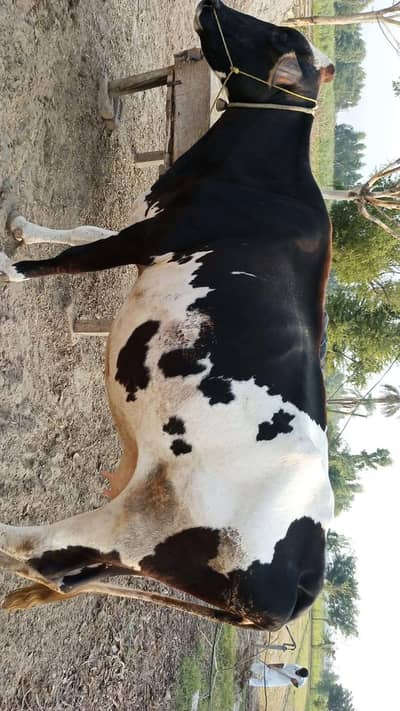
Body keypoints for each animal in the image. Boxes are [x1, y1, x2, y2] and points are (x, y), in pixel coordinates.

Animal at [0, 0, 335, 631]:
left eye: (275, 36)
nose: (212, 4)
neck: (259, 178)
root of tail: (307, 576)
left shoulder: (155, 235)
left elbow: (70, 259)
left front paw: (8, 267)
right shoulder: (152, 235)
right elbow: (85, 234)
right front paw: (24, 229)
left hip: (137, 529)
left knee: (39, 549)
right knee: (57, 569)